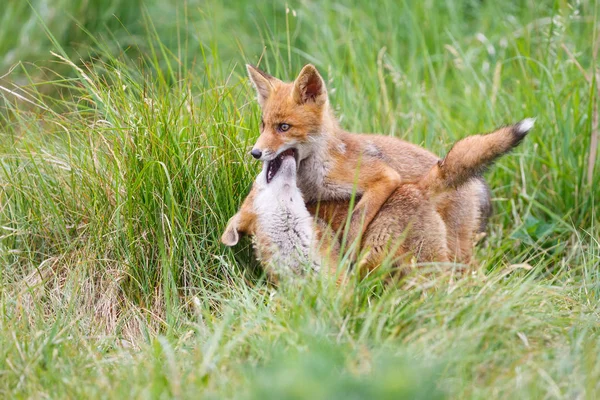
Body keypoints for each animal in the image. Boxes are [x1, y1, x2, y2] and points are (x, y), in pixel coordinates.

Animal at [244, 63, 528, 260]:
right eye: (263, 125)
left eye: (284, 127)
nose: (255, 153)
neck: (316, 172)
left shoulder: (382, 176)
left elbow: (357, 220)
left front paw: (349, 251)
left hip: (458, 248)